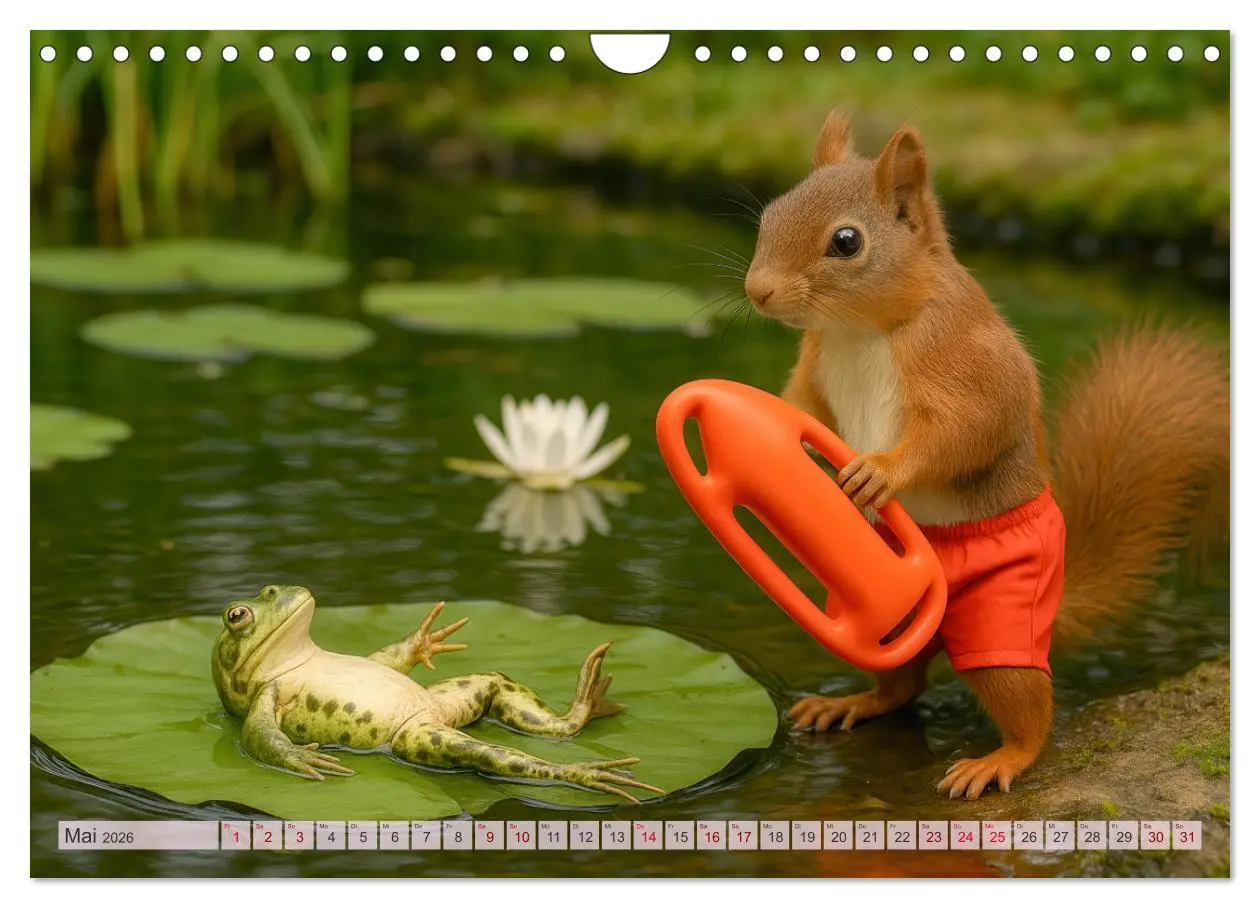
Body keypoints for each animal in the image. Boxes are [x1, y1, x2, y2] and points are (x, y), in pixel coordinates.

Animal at [742, 110, 1230, 800]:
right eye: (770, 213)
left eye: (846, 242)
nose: (757, 291)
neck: (860, 330)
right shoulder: (815, 370)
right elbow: (802, 408)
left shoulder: (962, 359)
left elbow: (967, 430)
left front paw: (879, 471)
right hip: (885, 612)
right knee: (902, 683)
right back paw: (852, 704)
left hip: (1004, 619)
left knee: (1028, 704)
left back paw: (1000, 759)